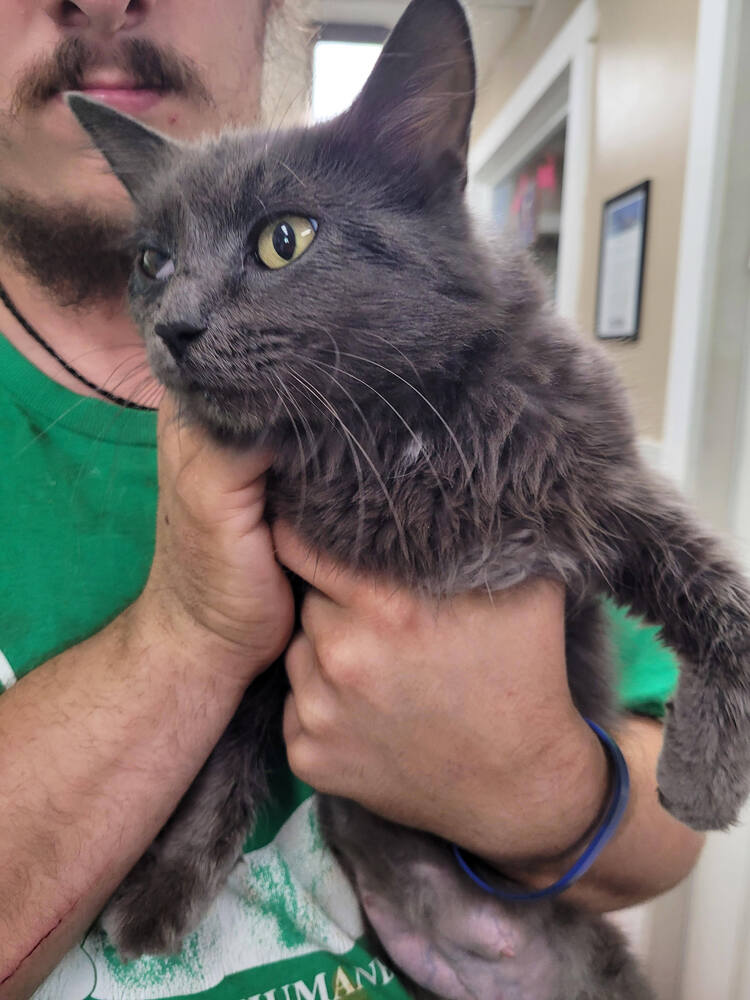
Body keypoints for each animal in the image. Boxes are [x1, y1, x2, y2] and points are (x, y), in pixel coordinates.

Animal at [69, 3, 750, 996]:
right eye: (153, 262)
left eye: (285, 238)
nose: (174, 327)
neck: (392, 437)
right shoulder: (287, 609)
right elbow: (227, 745)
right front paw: (165, 889)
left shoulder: (602, 482)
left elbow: (720, 594)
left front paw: (705, 775)